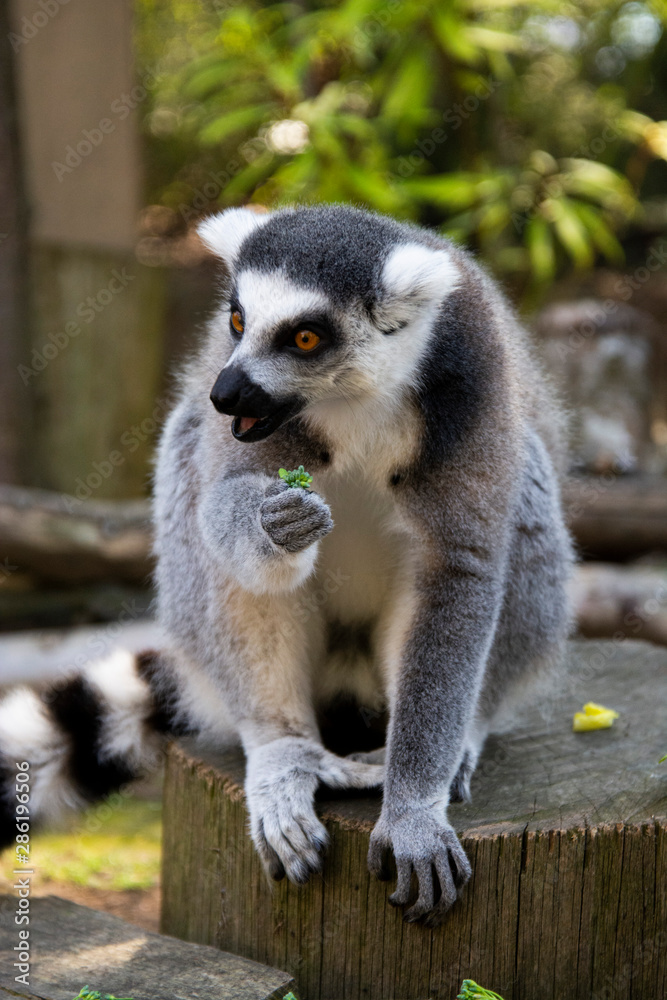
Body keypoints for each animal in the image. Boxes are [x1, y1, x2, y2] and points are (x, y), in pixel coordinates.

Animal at [0, 204, 573, 925]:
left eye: (305, 337)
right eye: (236, 320)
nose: (225, 392)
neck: (357, 396)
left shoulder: (471, 382)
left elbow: (458, 570)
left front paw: (413, 810)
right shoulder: (251, 419)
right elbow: (223, 508)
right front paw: (274, 528)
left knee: (525, 481)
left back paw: (460, 734)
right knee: (196, 474)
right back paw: (283, 751)